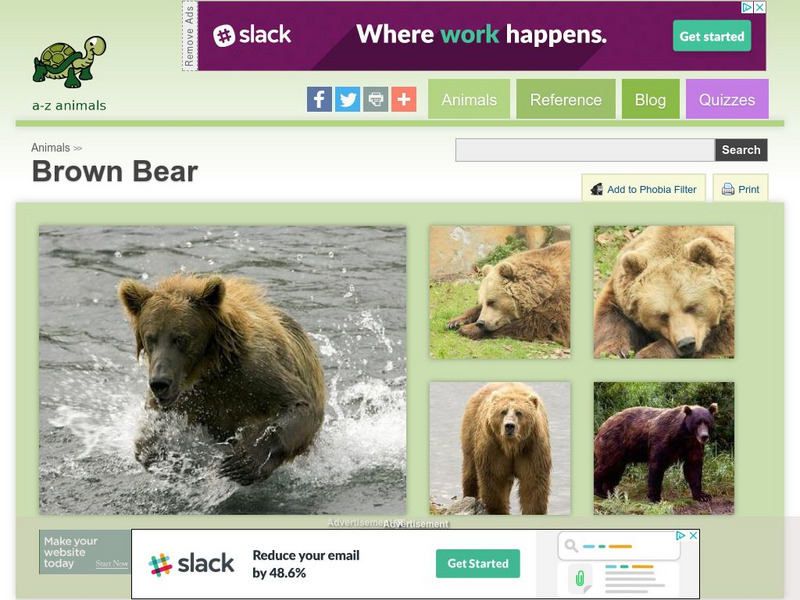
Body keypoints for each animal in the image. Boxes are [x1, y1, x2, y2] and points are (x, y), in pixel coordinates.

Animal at [118, 274, 326, 486]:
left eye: (181, 338)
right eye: (150, 338)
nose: (160, 383)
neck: (209, 367)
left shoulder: (256, 373)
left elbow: (300, 405)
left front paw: (243, 462)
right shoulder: (185, 397)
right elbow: (150, 432)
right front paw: (172, 459)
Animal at [461, 383, 552, 515]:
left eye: (519, 412)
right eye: (503, 411)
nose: (509, 426)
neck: (512, 446)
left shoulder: (532, 448)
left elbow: (533, 483)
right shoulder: (493, 448)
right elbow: (495, 481)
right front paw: (498, 510)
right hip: (471, 430)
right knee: (470, 472)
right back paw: (470, 497)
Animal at [593, 226, 734, 358]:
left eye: (692, 307)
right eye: (662, 315)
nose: (687, 343)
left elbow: (719, 337)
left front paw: (648, 354)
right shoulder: (619, 292)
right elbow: (611, 317)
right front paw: (613, 352)